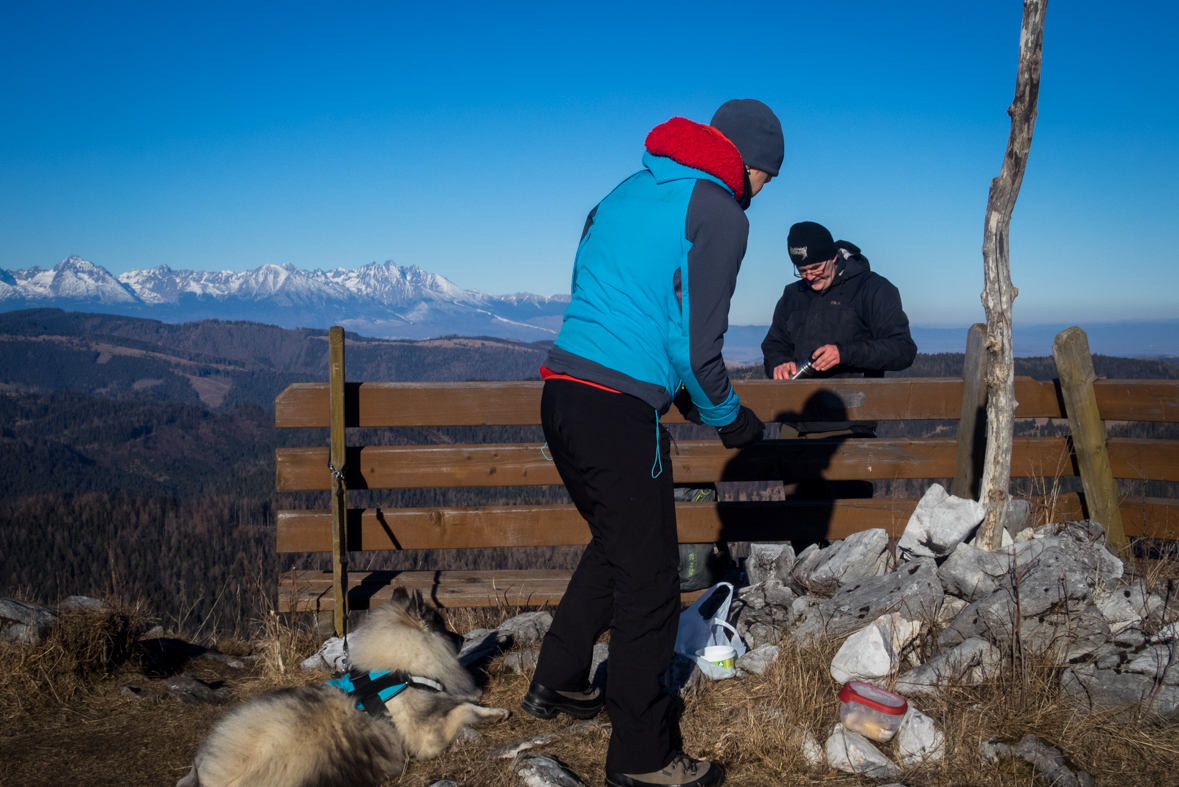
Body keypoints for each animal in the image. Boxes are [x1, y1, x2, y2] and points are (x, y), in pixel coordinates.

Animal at [176, 589, 509, 787]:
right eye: (442, 626)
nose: (463, 638)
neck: (400, 666)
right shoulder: (425, 734)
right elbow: (464, 709)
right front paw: (495, 712)